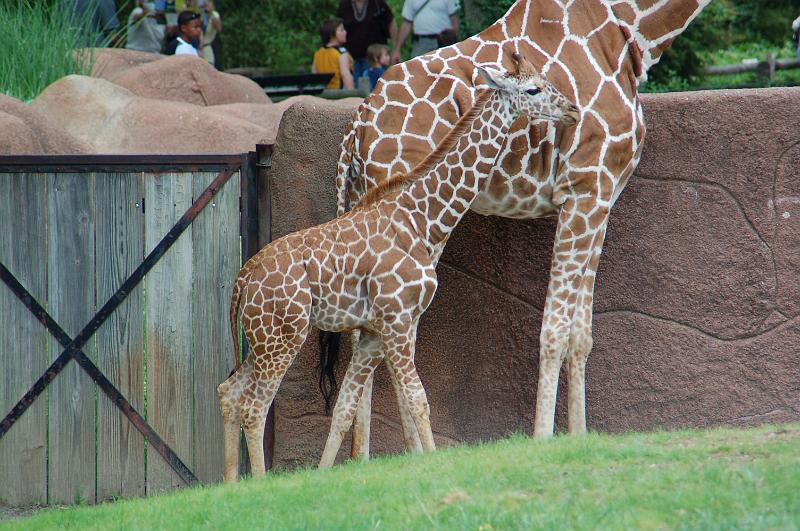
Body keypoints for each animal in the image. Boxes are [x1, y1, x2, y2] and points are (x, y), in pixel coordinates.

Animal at [217, 54, 579, 481]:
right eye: (533, 89)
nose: (572, 110)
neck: (425, 220)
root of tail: (242, 281)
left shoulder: (375, 330)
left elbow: (346, 407)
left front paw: (325, 474)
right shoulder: (398, 317)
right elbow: (418, 398)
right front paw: (435, 465)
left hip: (261, 340)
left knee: (229, 391)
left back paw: (231, 485)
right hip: (283, 335)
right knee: (254, 406)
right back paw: (260, 484)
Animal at [336, 0, 713, 457]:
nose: (570, 112)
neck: (629, 34)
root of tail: (358, 123)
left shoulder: (603, 196)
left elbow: (581, 334)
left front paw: (579, 437)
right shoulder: (584, 188)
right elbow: (554, 328)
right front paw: (543, 439)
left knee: (367, 336)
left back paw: (368, 458)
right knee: (388, 335)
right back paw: (405, 456)